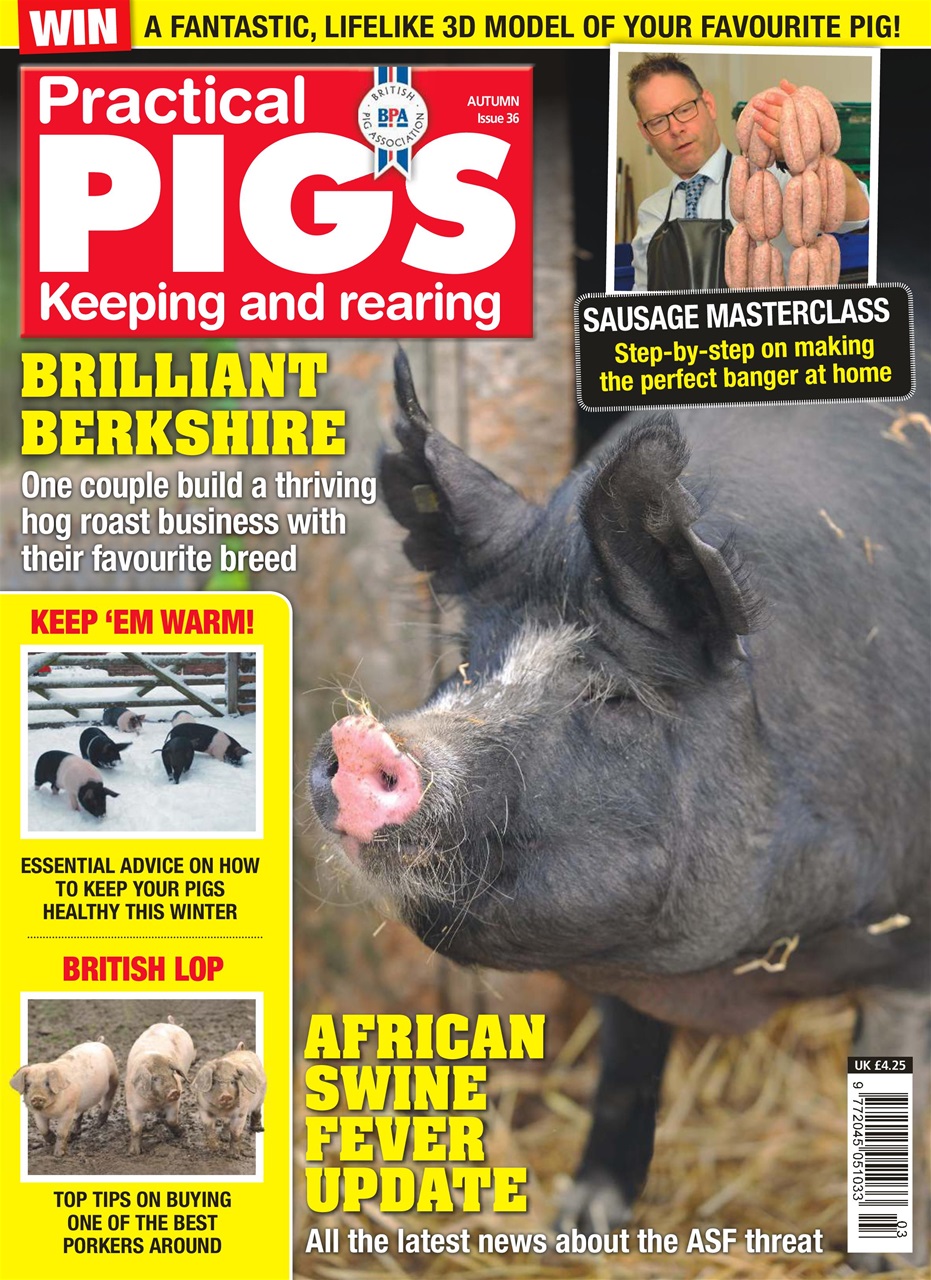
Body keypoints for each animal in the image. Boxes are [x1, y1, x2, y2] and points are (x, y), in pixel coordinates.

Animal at [124, 1016, 196, 1156]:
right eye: (154, 1078)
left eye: (172, 1072)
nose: (174, 1092)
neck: (154, 1103)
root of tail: (171, 1024)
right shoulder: (132, 1106)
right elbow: (136, 1128)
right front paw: (134, 1153)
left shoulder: (174, 1102)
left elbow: (171, 1120)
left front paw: (181, 1133)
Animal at [310, 350, 930, 1267]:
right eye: (466, 660)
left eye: (614, 695)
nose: (363, 739)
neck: (746, 965)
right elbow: (626, 1060)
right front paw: (579, 1226)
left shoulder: (907, 943)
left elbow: (890, 1051)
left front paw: (878, 1262)